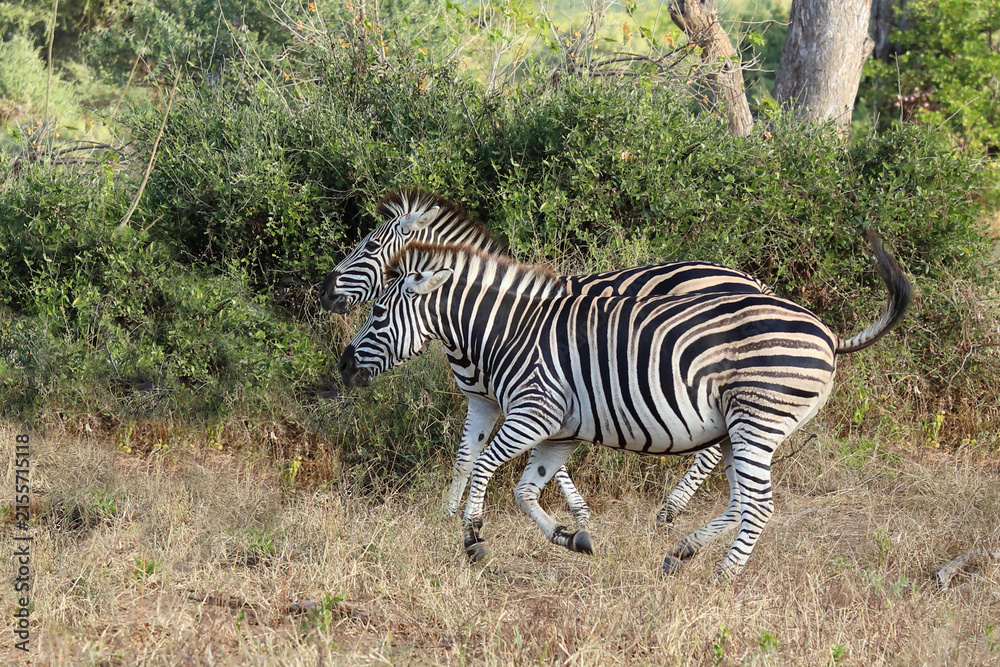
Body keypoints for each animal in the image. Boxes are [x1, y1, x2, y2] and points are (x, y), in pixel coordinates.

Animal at [319, 189, 772, 534]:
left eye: (369, 246)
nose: (323, 290)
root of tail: (751, 280)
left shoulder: (536, 391)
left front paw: (574, 513)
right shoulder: (498, 398)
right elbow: (471, 457)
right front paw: (449, 516)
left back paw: (670, 509)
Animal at [337, 230, 911, 579]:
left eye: (380, 314)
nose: (342, 365)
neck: (510, 330)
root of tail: (829, 335)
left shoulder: (534, 411)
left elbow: (482, 469)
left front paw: (473, 540)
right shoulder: (560, 430)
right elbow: (524, 489)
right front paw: (571, 536)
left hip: (756, 420)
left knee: (759, 505)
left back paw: (722, 577)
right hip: (740, 430)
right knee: (741, 501)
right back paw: (681, 552)